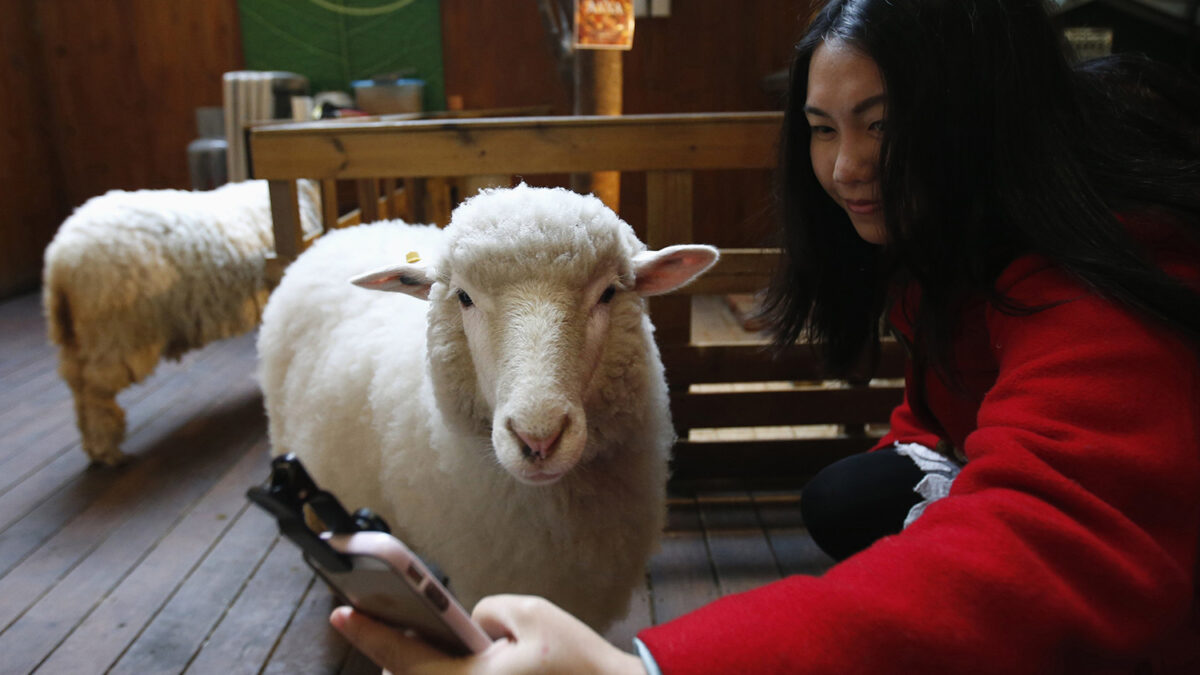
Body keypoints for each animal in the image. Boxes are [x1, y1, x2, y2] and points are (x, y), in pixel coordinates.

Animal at [45, 177, 321, 461]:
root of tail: (60, 262)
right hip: (114, 336)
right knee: (95, 393)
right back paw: (106, 450)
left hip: (81, 339)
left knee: (77, 386)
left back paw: (92, 445)